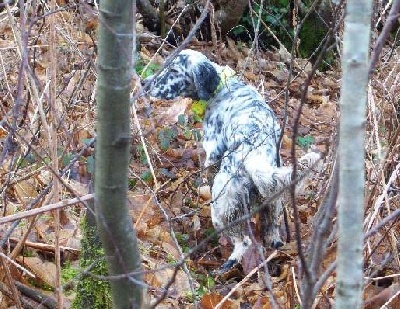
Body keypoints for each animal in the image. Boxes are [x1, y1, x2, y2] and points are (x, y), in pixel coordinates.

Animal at [145, 49, 322, 270]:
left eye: (174, 71)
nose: (144, 83)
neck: (224, 86)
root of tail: (255, 155)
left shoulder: (212, 153)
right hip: (272, 198)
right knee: (271, 230)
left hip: (222, 205)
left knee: (243, 241)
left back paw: (227, 264)